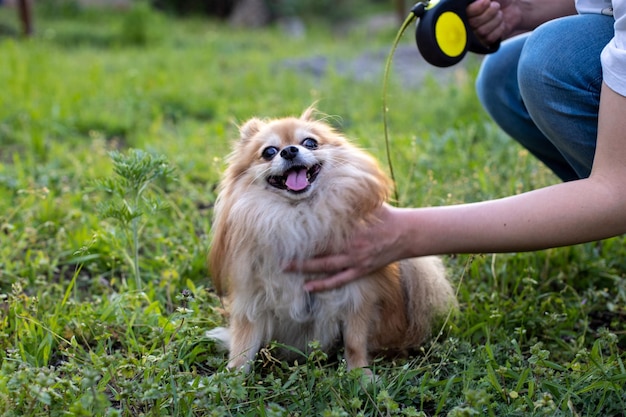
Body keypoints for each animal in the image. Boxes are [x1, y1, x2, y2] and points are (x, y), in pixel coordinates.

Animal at [207, 106, 456, 370]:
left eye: (309, 142)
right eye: (269, 152)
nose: (289, 150)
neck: (298, 214)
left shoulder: (357, 296)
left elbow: (355, 343)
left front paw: (361, 374)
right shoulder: (252, 299)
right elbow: (243, 346)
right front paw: (232, 376)